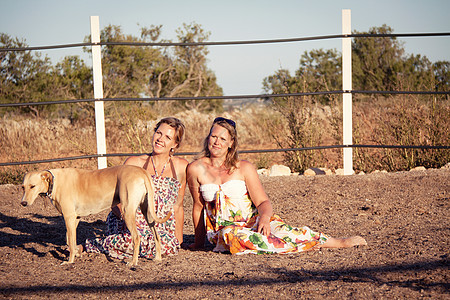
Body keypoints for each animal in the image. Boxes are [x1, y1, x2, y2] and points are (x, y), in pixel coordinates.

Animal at [19, 165, 171, 266]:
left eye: (33, 186)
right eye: (23, 187)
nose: (23, 203)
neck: (54, 181)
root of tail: (141, 171)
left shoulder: (68, 217)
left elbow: (70, 241)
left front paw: (70, 261)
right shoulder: (75, 219)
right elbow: (69, 239)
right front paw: (77, 253)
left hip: (127, 212)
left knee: (136, 237)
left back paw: (133, 262)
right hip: (147, 212)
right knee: (156, 235)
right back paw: (157, 258)